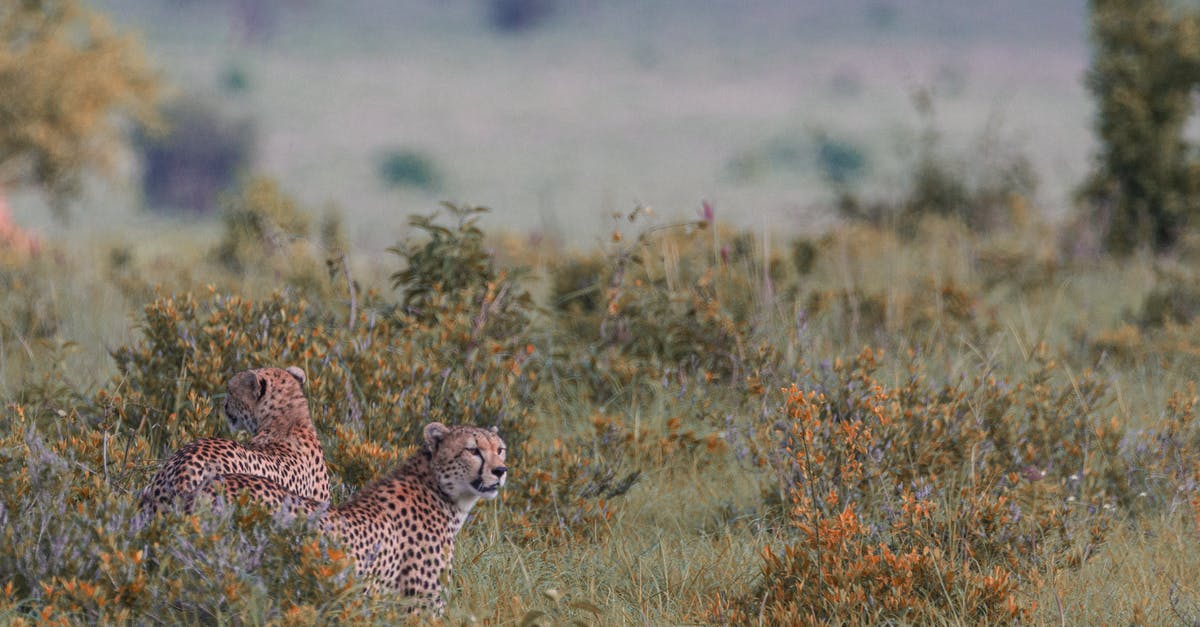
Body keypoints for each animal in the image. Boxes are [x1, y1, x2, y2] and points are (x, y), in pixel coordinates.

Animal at [190, 422, 506, 612]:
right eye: (473, 450)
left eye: (500, 449)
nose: (501, 470)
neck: (440, 490)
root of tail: (212, 485)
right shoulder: (420, 606)